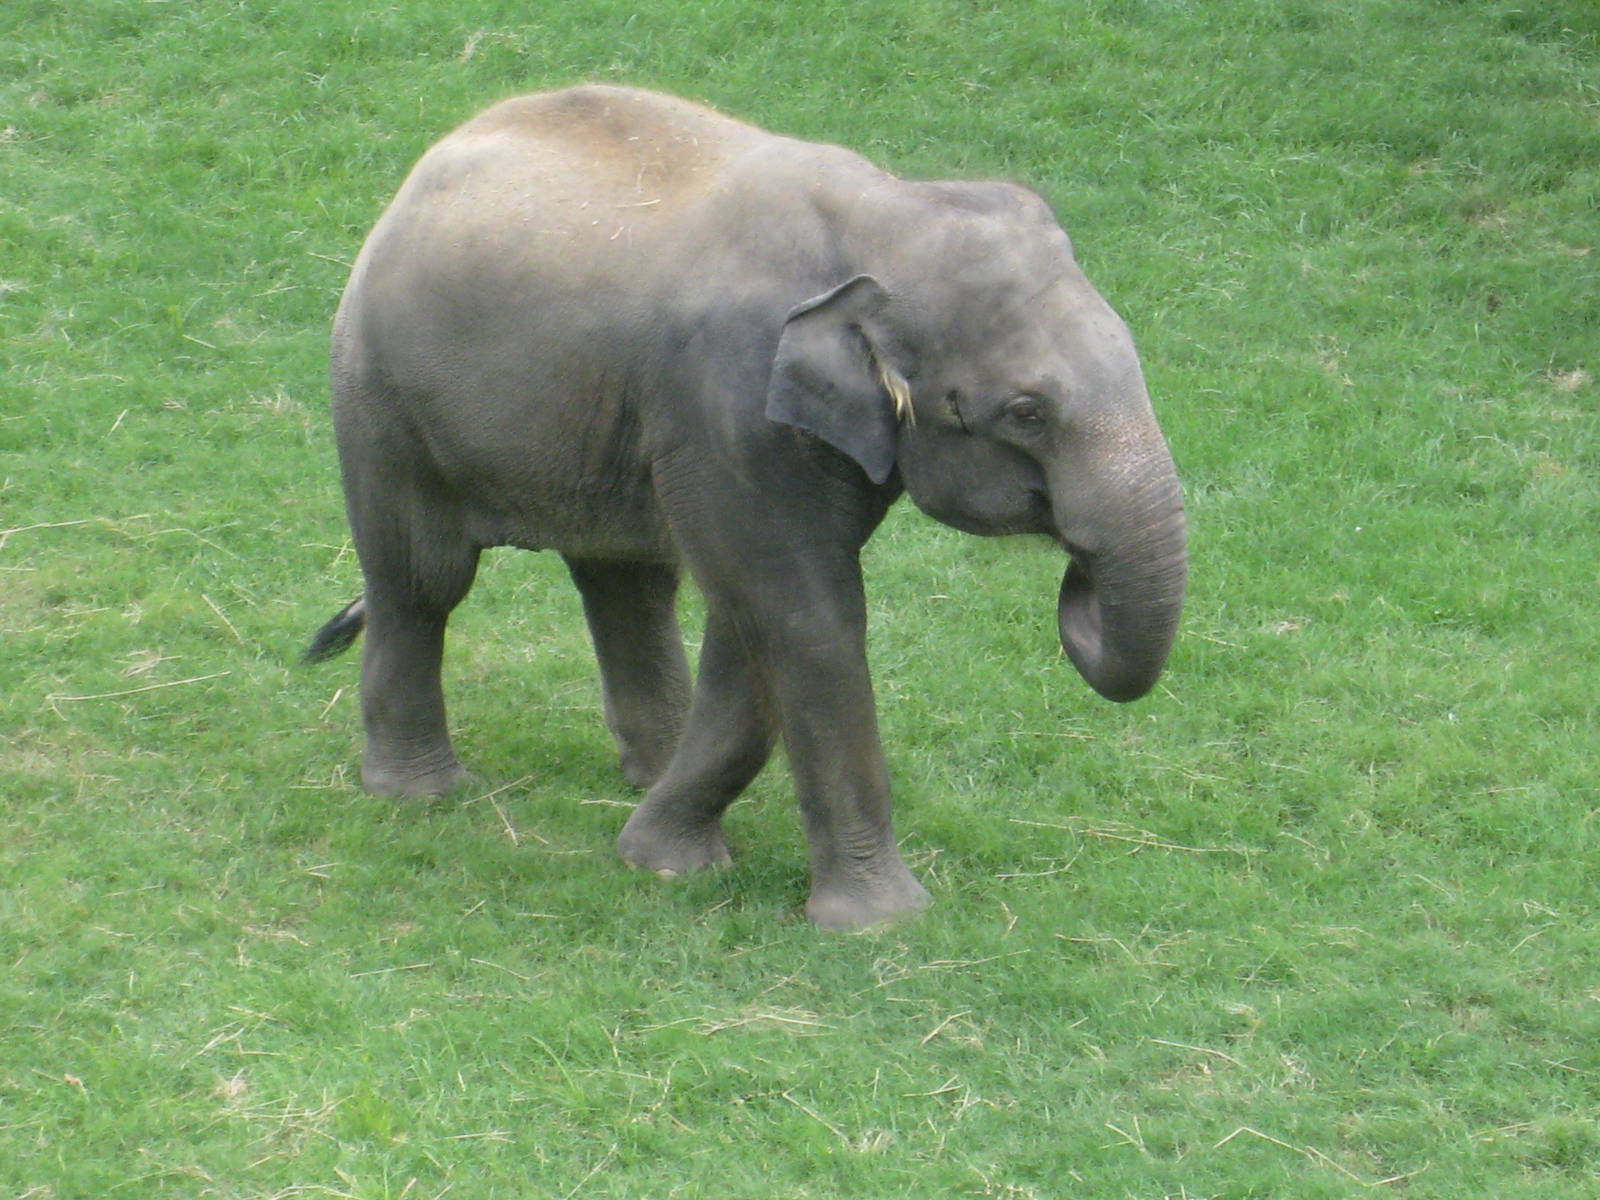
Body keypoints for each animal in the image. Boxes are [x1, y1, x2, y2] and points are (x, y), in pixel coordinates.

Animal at [304, 85, 1186, 929]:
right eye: (1026, 413)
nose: (1078, 573)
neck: (887, 211)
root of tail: (423, 167)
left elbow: (750, 622)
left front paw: (661, 859)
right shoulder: (729, 402)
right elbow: (802, 614)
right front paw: (880, 923)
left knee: (627, 583)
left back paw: (646, 772)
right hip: (378, 394)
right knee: (422, 580)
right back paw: (420, 792)